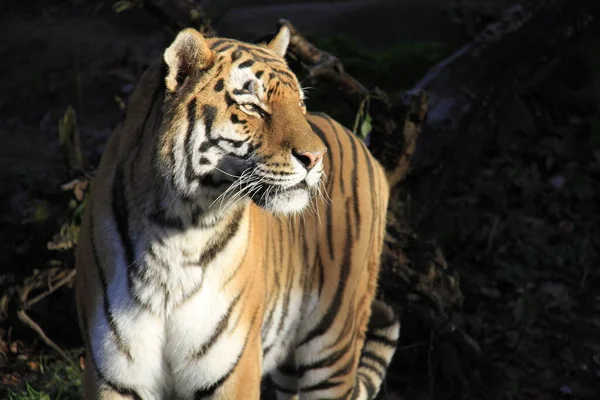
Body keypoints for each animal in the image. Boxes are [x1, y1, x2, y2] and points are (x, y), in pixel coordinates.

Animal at [76, 23, 404, 398]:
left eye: (300, 104)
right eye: (252, 107)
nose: (315, 158)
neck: (176, 228)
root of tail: (360, 143)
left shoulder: (234, 369)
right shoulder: (113, 375)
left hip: (332, 345)